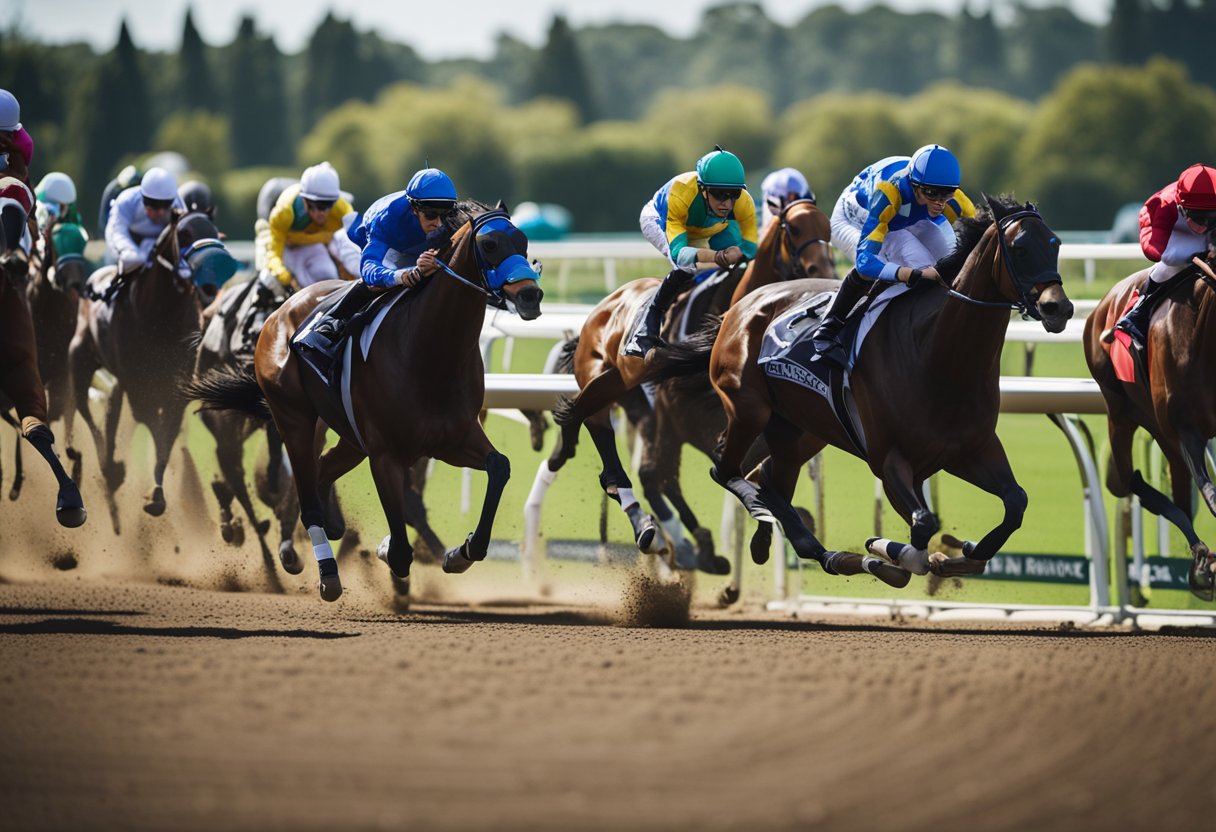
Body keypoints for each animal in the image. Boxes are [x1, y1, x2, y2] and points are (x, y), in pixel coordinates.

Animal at [69, 211, 223, 530]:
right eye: (184, 234)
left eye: (215, 232)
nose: (210, 287)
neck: (161, 312)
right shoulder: (140, 386)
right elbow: (152, 422)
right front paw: (153, 493)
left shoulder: (177, 384)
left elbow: (168, 432)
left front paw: (157, 494)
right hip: (80, 359)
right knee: (87, 412)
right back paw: (109, 468)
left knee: (111, 409)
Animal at [184, 203, 542, 603]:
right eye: (490, 243)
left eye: (523, 241)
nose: (531, 295)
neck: (432, 351)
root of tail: (280, 312)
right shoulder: (385, 453)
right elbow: (400, 549)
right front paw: (389, 551)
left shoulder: (453, 437)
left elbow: (498, 467)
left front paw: (457, 553)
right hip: (293, 418)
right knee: (304, 491)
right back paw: (322, 569)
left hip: (350, 437)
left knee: (322, 469)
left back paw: (330, 528)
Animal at [651, 194, 1070, 583]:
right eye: (1019, 248)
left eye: (1055, 244)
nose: (1059, 308)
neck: (939, 356)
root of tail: (740, 307)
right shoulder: (890, 460)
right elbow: (922, 527)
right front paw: (885, 549)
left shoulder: (971, 450)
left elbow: (1015, 503)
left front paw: (961, 554)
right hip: (750, 410)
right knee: (725, 468)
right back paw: (805, 538)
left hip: (799, 430)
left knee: (768, 476)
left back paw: (791, 544)